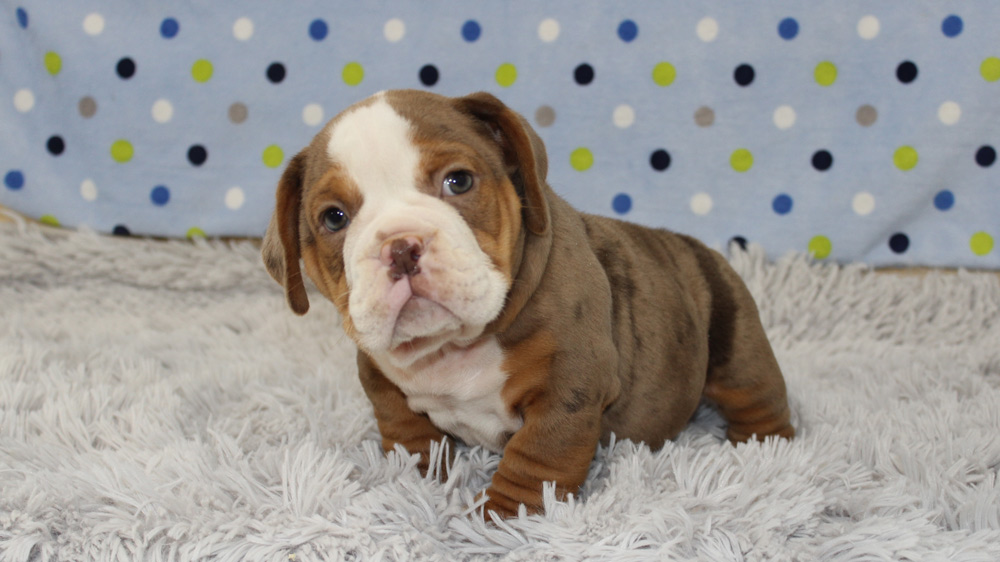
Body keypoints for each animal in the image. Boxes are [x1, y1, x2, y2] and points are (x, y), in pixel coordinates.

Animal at [262, 90, 794, 519]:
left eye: (458, 182)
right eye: (334, 218)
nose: (401, 245)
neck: (451, 346)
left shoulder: (569, 387)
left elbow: (538, 456)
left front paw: (502, 516)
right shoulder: (381, 383)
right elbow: (408, 434)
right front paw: (418, 481)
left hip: (737, 343)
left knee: (757, 397)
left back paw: (761, 451)